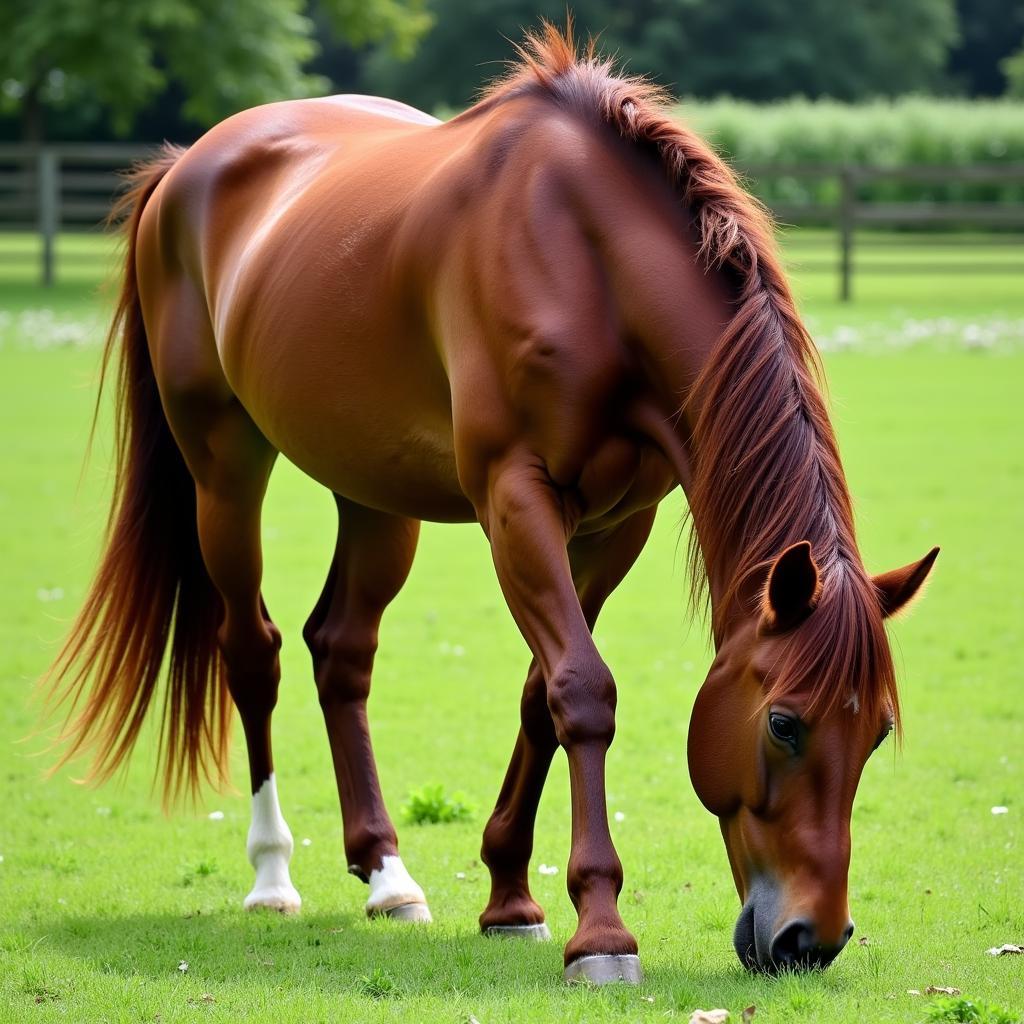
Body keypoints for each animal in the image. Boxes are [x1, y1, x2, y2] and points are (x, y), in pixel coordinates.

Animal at [39, 22, 937, 983]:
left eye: (876, 734)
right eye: (783, 724)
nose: (813, 939)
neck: (586, 261)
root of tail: (186, 165)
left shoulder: (615, 525)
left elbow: (540, 694)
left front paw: (511, 898)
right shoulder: (516, 500)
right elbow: (582, 689)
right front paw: (601, 931)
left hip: (374, 495)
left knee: (340, 652)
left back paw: (388, 876)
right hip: (225, 470)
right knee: (254, 651)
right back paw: (272, 875)